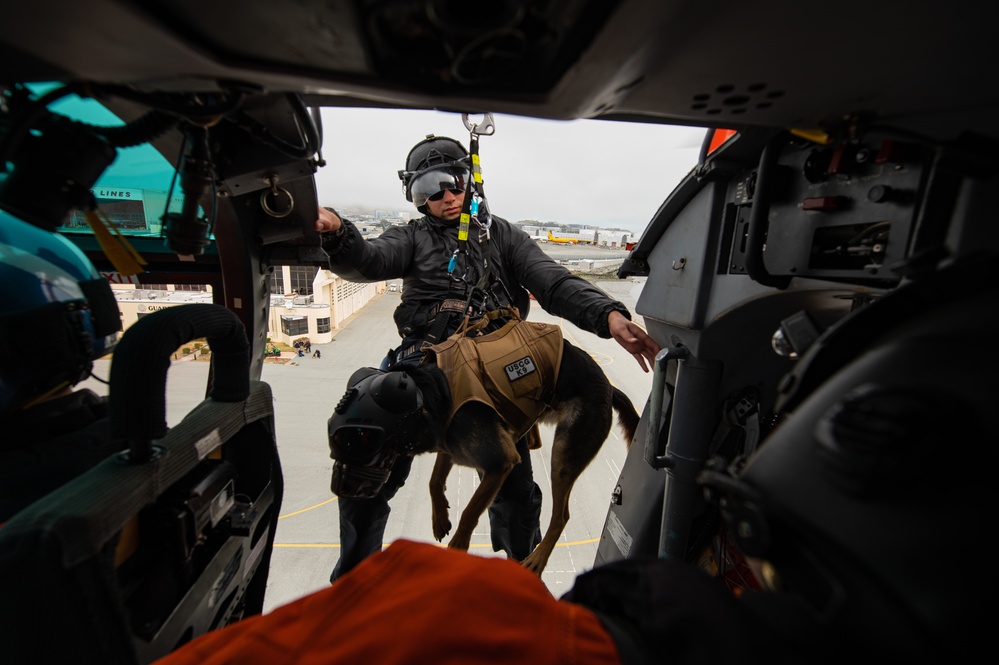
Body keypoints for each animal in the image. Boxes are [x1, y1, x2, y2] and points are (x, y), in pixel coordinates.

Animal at [330, 338, 640, 576]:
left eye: (361, 439)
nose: (338, 488)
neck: (432, 394)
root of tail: (610, 388)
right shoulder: (450, 446)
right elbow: (434, 481)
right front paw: (440, 517)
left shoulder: (500, 463)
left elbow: (469, 512)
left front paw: (457, 547)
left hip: (563, 457)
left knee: (561, 516)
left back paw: (538, 559)